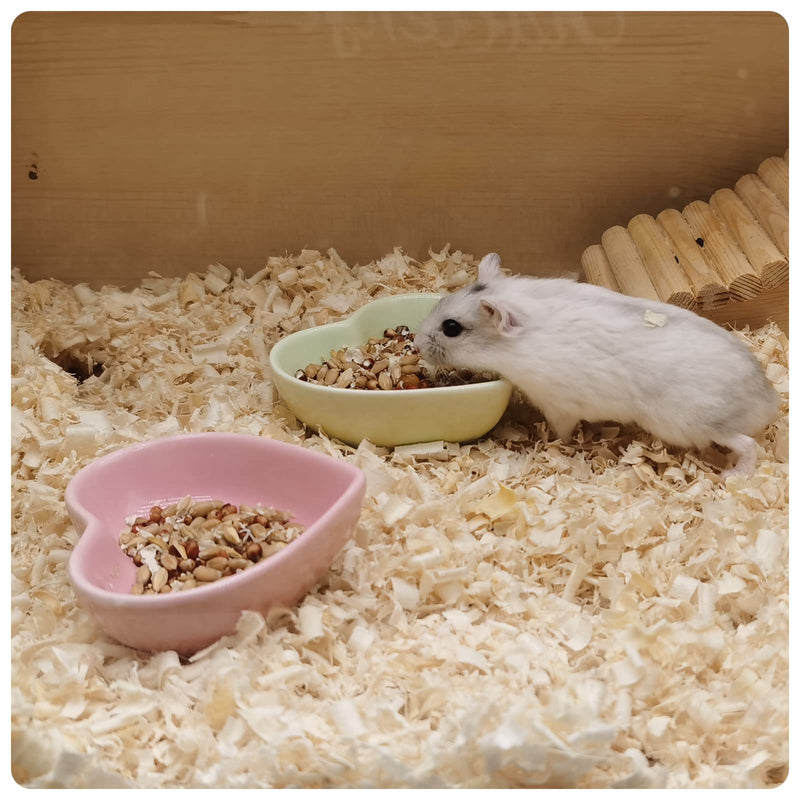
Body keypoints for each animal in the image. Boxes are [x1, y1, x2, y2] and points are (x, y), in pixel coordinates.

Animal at [415, 253, 780, 478]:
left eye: (451, 328)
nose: (416, 345)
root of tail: (769, 403)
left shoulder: (558, 406)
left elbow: (561, 432)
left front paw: (547, 441)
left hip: (693, 423)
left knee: (748, 444)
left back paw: (734, 473)